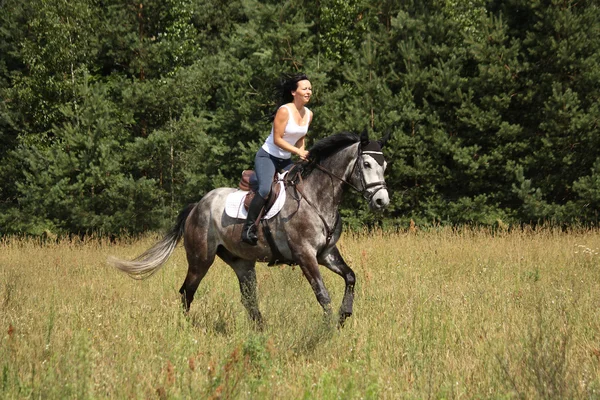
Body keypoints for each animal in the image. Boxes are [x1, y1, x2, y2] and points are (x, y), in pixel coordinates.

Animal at [108, 130, 392, 326]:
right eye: (367, 164)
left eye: (384, 165)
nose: (382, 201)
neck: (316, 197)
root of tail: (198, 205)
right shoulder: (305, 255)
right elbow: (322, 294)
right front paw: (329, 328)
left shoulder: (326, 254)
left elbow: (350, 276)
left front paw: (344, 315)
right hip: (201, 259)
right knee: (187, 291)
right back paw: (187, 327)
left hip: (242, 262)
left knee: (248, 299)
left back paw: (262, 331)